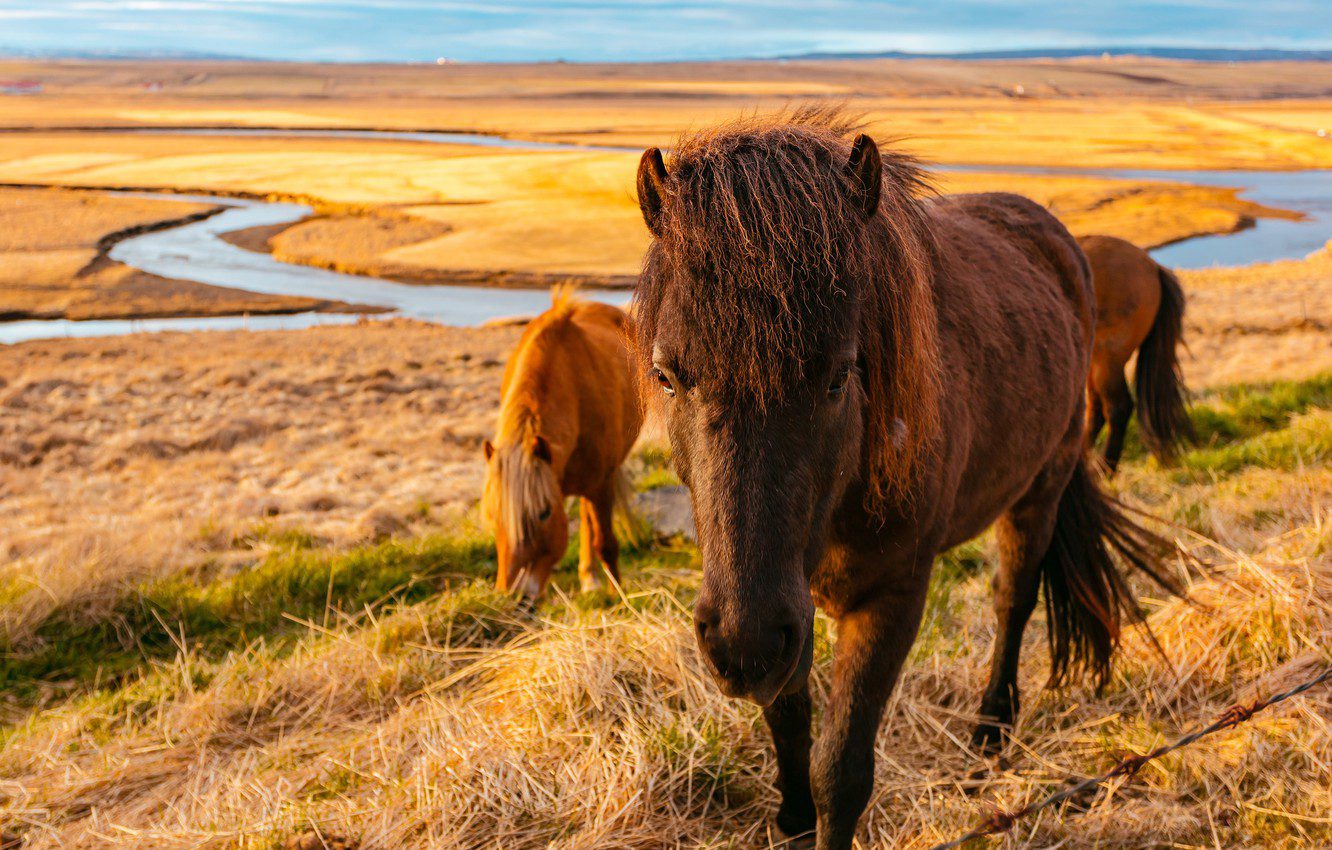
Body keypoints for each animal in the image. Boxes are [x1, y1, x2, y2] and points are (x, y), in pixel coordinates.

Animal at [482, 286, 642, 599]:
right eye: (494, 515)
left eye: (544, 514)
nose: (514, 597)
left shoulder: (600, 484)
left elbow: (606, 543)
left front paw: (620, 597)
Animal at [628, 107, 1172, 850]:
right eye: (666, 375)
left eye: (838, 375)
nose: (740, 645)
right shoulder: (786, 607)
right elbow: (788, 721)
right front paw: (791, 819)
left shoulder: (890, 597)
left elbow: (842, 769)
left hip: (1040, 489)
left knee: (1013, 600)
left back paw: (992, 728)